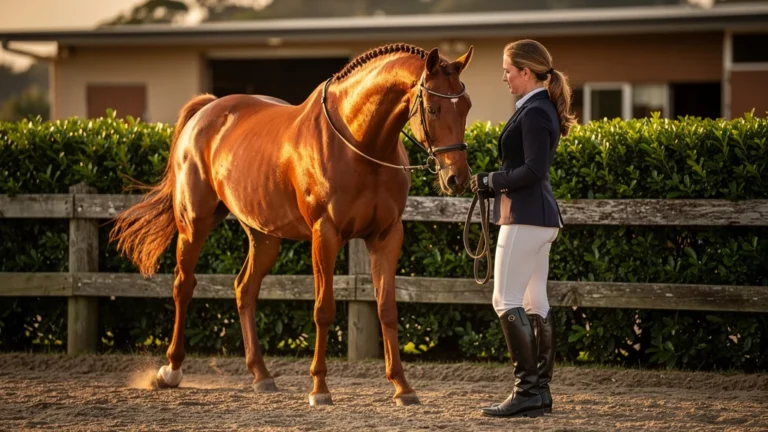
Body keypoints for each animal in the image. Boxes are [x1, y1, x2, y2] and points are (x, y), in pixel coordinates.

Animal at [109, 42, 474, 406]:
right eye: (433, 107)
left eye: (466, 106)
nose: (456, 178)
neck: (359, 144)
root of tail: (207, 110)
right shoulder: (325, 235)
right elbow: (323, 309)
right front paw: (320, 389)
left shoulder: (386, 236)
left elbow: (387, 309)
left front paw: (402, 387)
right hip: (194, 223)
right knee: (184, 286)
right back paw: (170, 370)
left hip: (264, 237)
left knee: (244, 289)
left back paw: (261, 375)